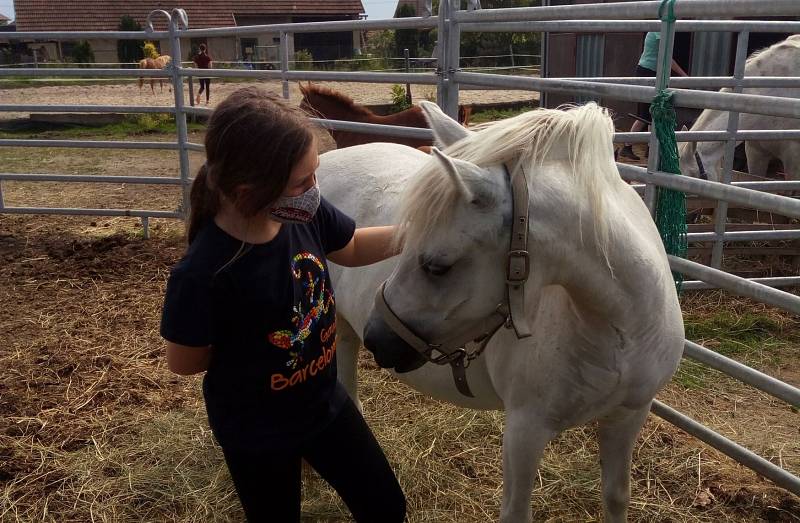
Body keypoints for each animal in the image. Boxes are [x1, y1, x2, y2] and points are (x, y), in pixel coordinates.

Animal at [318, 102, 680, 523]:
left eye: (437, 266)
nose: (379, 337)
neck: (619, 332)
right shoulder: (525, 430)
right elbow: (516, 512)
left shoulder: (629, 416)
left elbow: (616, 496)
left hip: (344, 326)